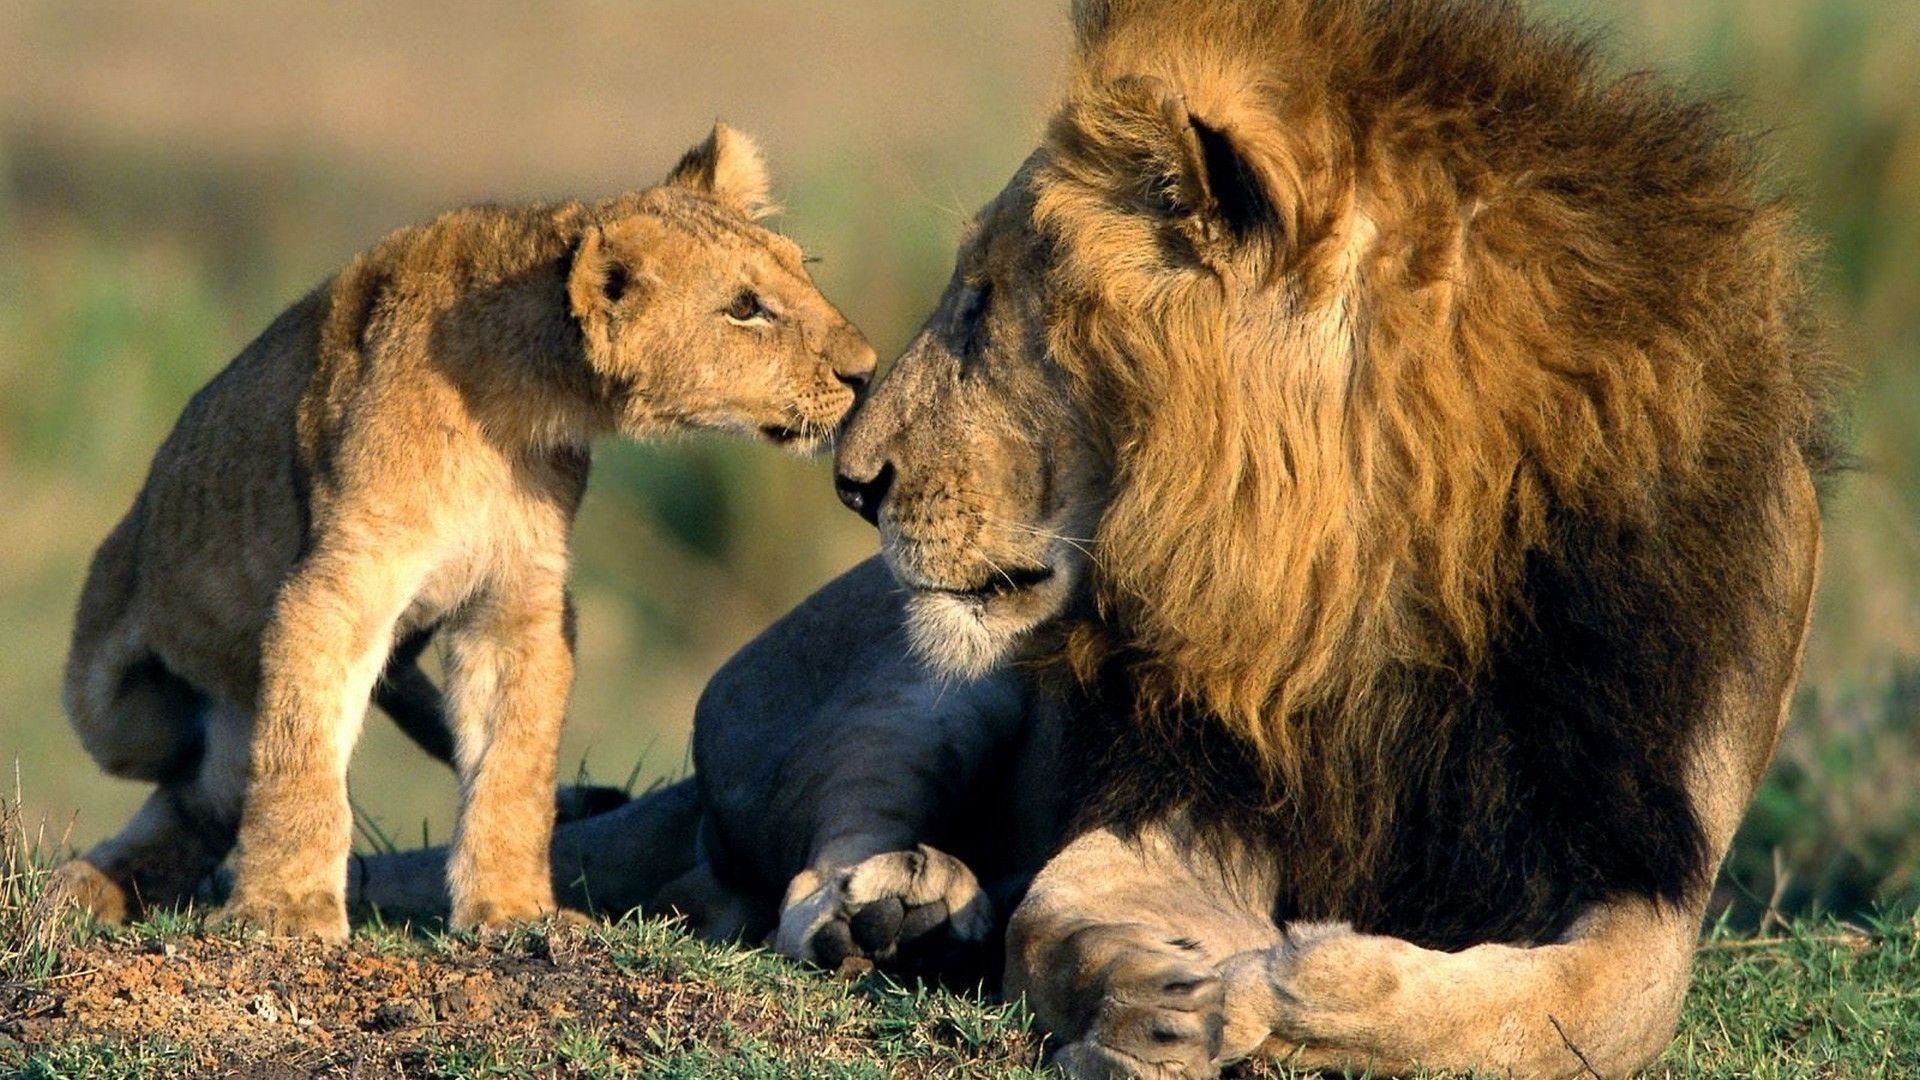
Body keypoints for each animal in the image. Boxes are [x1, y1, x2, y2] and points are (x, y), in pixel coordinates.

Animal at [53, 123, 876, 942]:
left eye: (803, 273)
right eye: (745, 308)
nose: (867, 372)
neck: (517, 405)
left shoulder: (518, 601)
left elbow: (513, 766)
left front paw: (512, 909)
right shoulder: (336, 586)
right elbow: (299, 753)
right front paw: (286, 908)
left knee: (209, 796)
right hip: (115, 707)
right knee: (190, 775)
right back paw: (85, 884)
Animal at [355, 1, 1842, 1074]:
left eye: (987, 303)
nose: (854, 481)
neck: (1375, 580)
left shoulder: (1645, 848)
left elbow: (1604, 1001)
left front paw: (1310, 982)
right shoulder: (1171, 788)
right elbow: (1073, 913)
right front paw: (1168, 997)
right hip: (920, 671)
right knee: (800, 861)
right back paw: (892, 912)